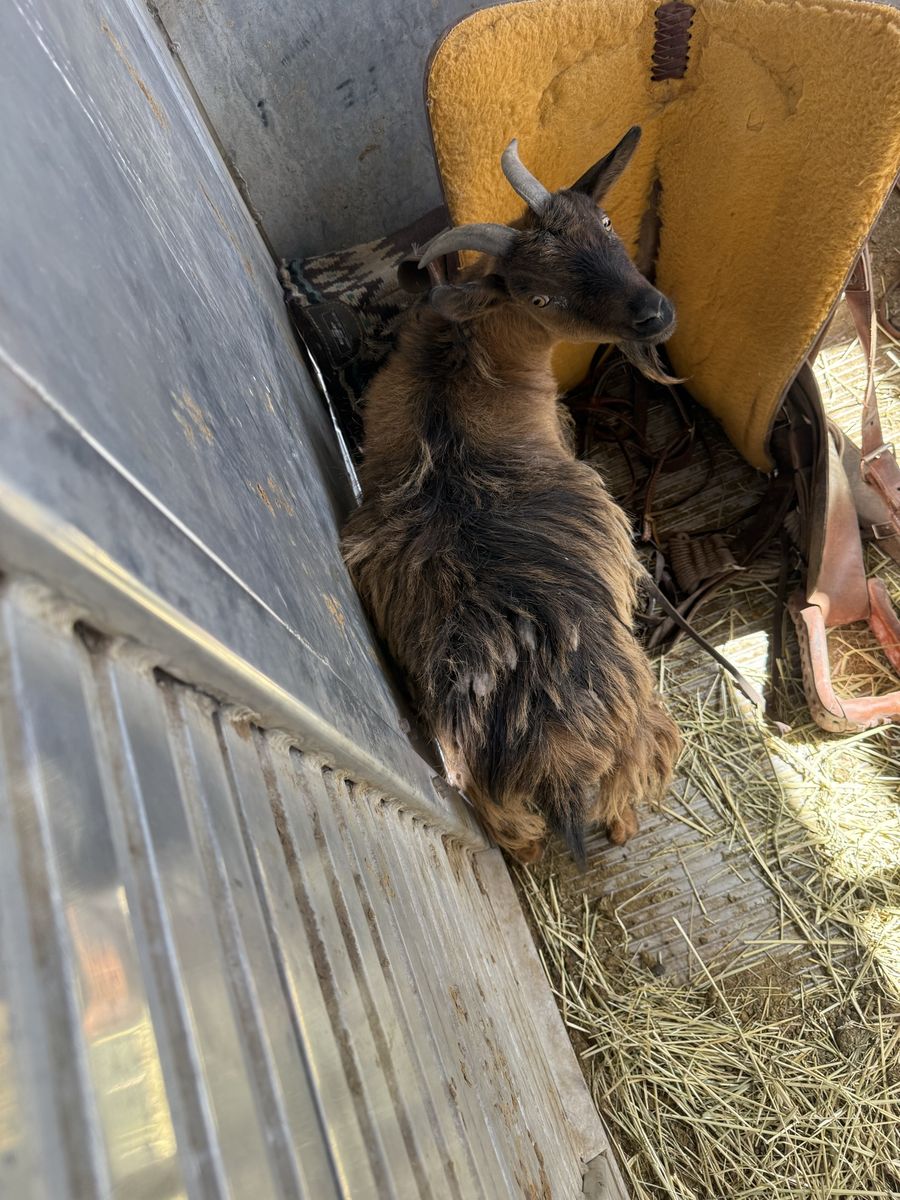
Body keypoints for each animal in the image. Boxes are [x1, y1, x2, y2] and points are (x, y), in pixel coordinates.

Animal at [341, 127, 681, 864]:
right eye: (540, 299)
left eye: (602, 224)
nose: (654, 313)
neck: (460, 368)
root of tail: (556, 757)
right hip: (639, 727)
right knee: (628, 797)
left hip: (495, 806)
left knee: (519, 841)